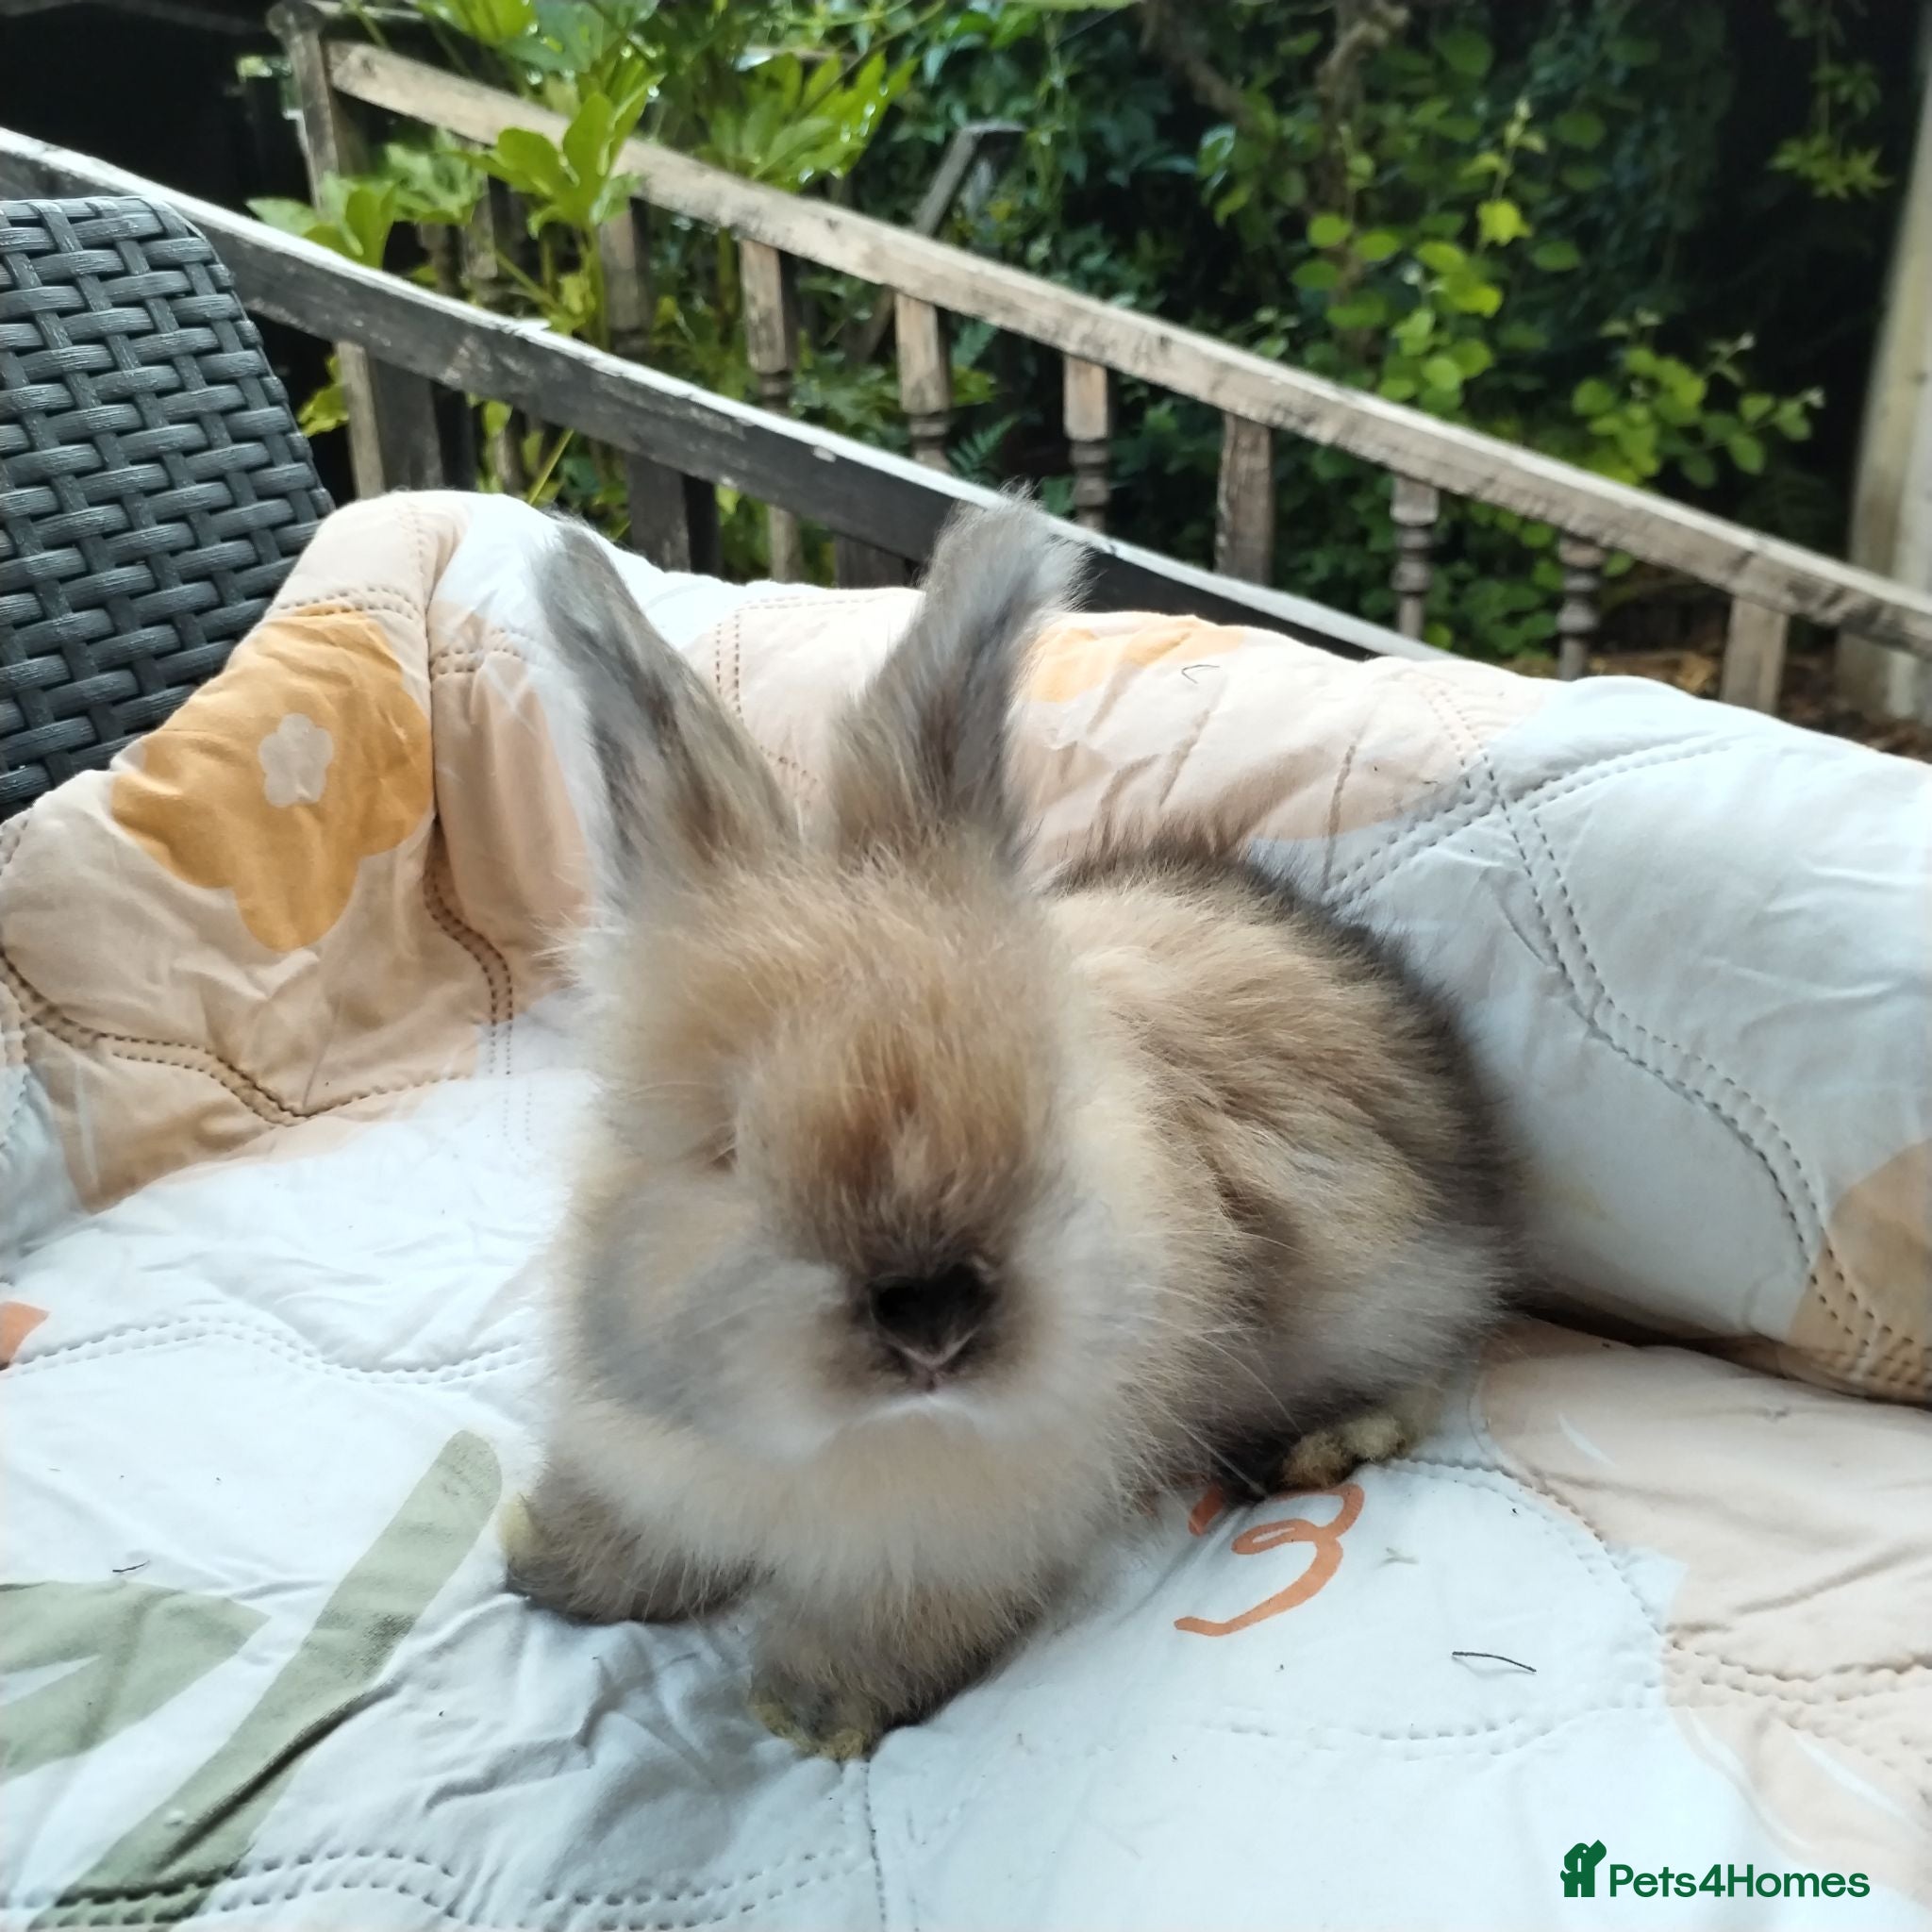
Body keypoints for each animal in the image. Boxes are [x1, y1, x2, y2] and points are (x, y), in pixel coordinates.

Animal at [506, 497, 1521, 1759]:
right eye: (726, 1147)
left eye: (1039, 1102)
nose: (931, 1320)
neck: (843, 1437)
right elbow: (627, 1530)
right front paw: (546, 1565)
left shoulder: (946, 1548)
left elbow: (877, 1632)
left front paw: (807, 1714)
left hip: (1383, 1288)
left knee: (1429, 1365)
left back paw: (1312, 1446)